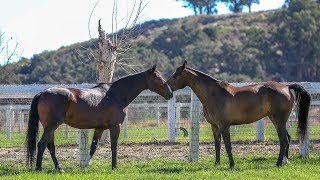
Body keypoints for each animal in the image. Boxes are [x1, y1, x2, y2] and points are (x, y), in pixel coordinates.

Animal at [26, 65, 174, 172]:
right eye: (158, 76)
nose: (170, 93)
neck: (115, 95)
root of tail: (42, 93)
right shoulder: (115, 127)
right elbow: (114, 147)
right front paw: (114, 167)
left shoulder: (99, 128)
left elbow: (93, 147)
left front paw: (86, 165)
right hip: (51, 126)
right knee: (42, 144)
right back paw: (38, 169)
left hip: (49, 127)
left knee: (50, 146)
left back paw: (59, 169)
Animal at [168, 61, 310, 168]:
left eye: (175, 76)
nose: (167, 89)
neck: (214, 95)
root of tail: (286, 87)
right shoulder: (214, 127)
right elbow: (217, 145)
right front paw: (216, 164)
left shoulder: (224, 126)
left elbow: (228, 145)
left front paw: (231, 165)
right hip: (276, 120)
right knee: (287, 138)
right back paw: (285, 161)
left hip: (279, 120)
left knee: (283, 140)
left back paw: (279, 163)